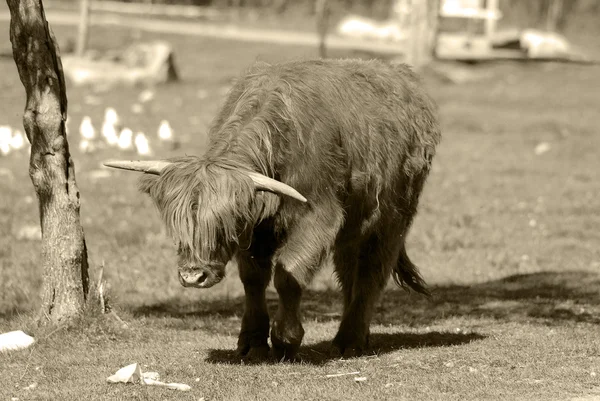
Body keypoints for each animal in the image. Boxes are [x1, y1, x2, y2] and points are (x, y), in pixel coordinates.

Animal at [103, 57, 440, 360]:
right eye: (178, 225)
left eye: (223, 222)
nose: (193, 276)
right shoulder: (255, 229)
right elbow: (253, 279)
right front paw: (251, 343)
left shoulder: (317, 217)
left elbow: (288, 274)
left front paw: (286, 340)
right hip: (354, 228)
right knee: (349, 274)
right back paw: (355, 334)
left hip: (391, 219)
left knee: (372, 273)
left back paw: (350, 342)